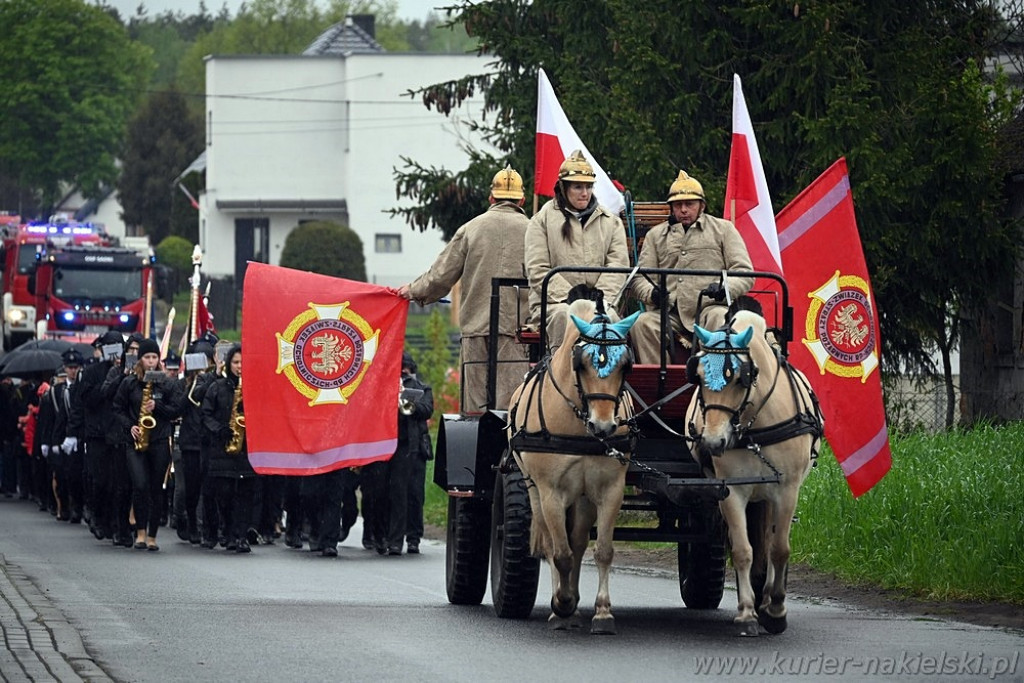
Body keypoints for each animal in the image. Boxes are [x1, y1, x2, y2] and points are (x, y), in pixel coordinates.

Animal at [505, 299, 634, 634]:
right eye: (582, 364)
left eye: (625, 365)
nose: (604, 426)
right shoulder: (551, 492)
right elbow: (559, 554)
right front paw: (561, 604)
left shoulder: (610, 490)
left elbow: (601, 550)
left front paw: (602, 612)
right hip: (534, 490)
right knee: (553, 543)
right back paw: (561, 605)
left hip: (584, 497)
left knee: (577, 541)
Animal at [688, 307, 823, 638]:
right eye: (698, 375)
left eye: (740, 377)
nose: (713, 442)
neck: (756, 424)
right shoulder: (732, 490)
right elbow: (743, 550)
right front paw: (747, 612)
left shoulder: (787, 490)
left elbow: (779, 550)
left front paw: (775, 610)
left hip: (769, 497)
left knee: (771, 542)